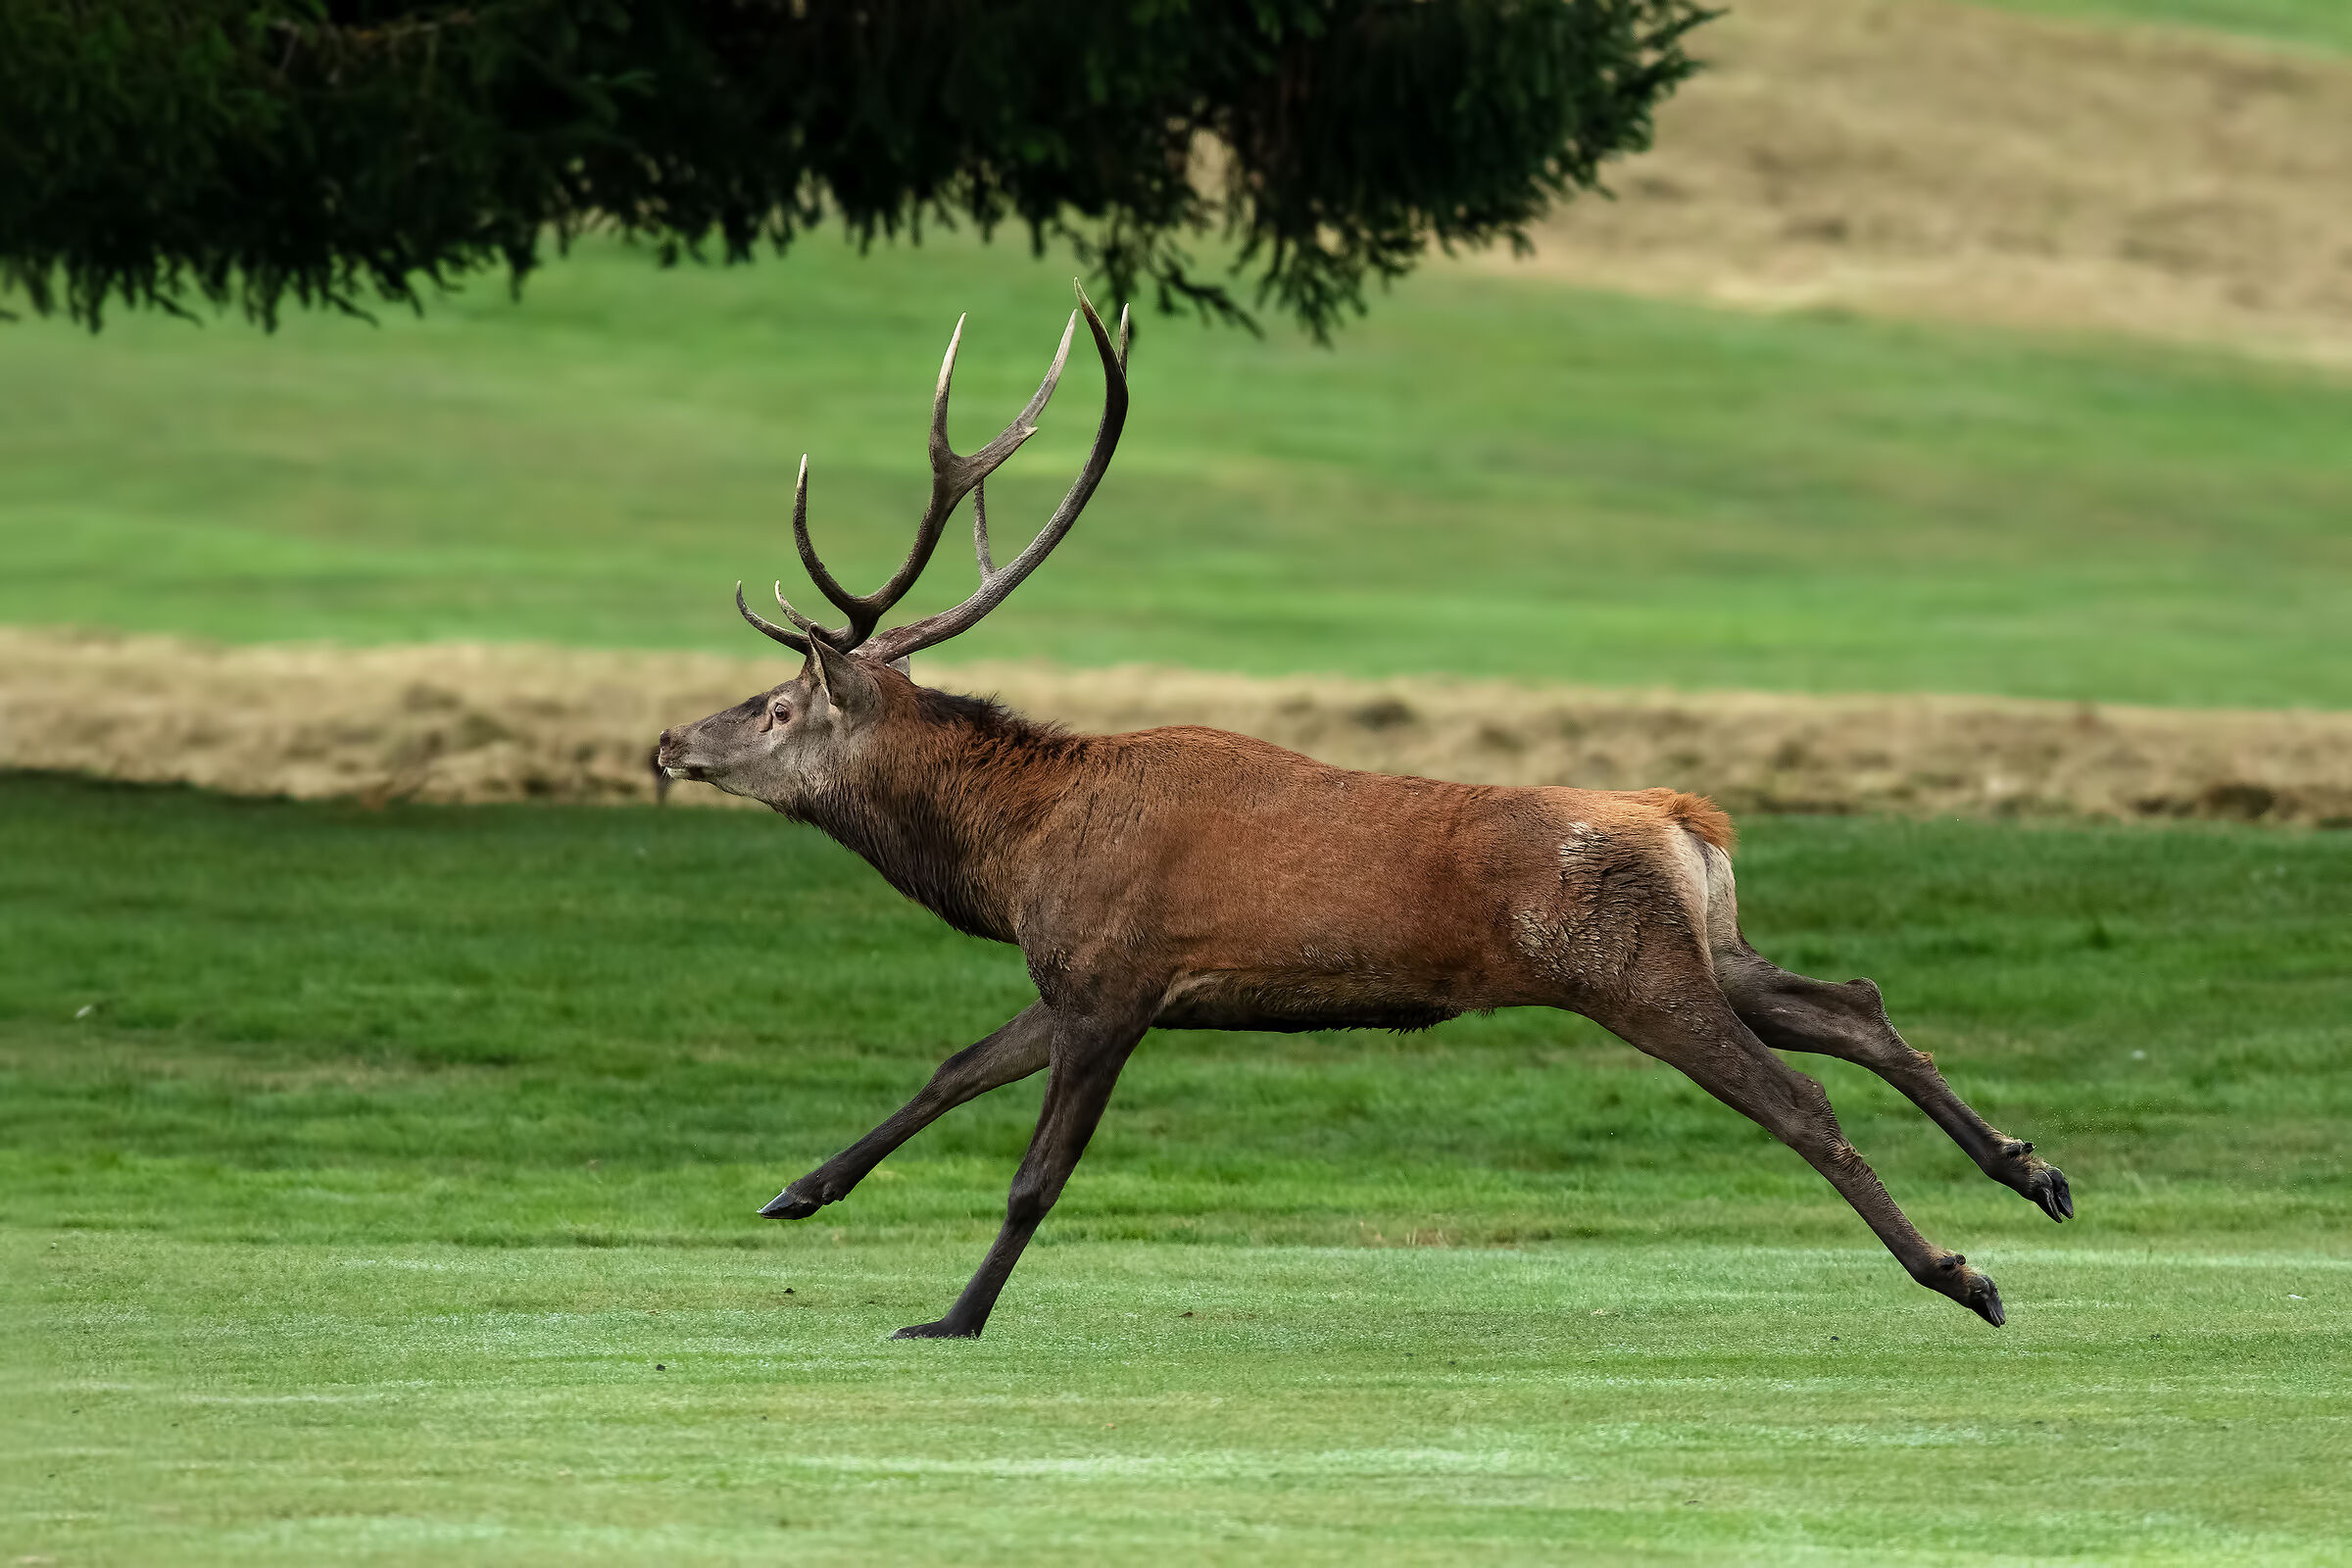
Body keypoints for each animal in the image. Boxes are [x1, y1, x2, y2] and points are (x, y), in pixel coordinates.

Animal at [654, 282, 2075, 1341]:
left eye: (777, 705)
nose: (669, 740)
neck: (1011, 860)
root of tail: (1687, 817)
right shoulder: (1086, 976)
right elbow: (951, 1067)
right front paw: (796, 1193)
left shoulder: (1113, 978)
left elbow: (1033, 1178)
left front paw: (950, 1316)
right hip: (1706, 948)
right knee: (1855, 1005)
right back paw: (2034, 1170)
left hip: (1629, 970)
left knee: (1801, 1099)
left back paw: (1964, 1274)